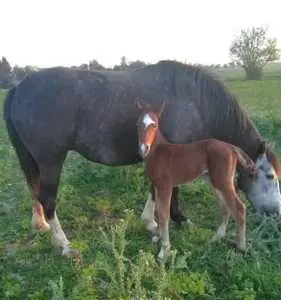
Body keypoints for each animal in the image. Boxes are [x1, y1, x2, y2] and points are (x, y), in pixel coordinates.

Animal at [137, 103, 258, 262]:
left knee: (239, 208)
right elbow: (157, 212)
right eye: (138, 124)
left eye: (154, 125)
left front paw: (164, 251)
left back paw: (241, 247)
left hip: (223, 182)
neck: (159, 152)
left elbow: (163, 216)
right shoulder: (156, 186)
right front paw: (158, 237)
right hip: (215, 182)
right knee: (225, 207)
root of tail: (232, 147)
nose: (143, 148)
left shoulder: (165, 186)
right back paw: (217, 237)